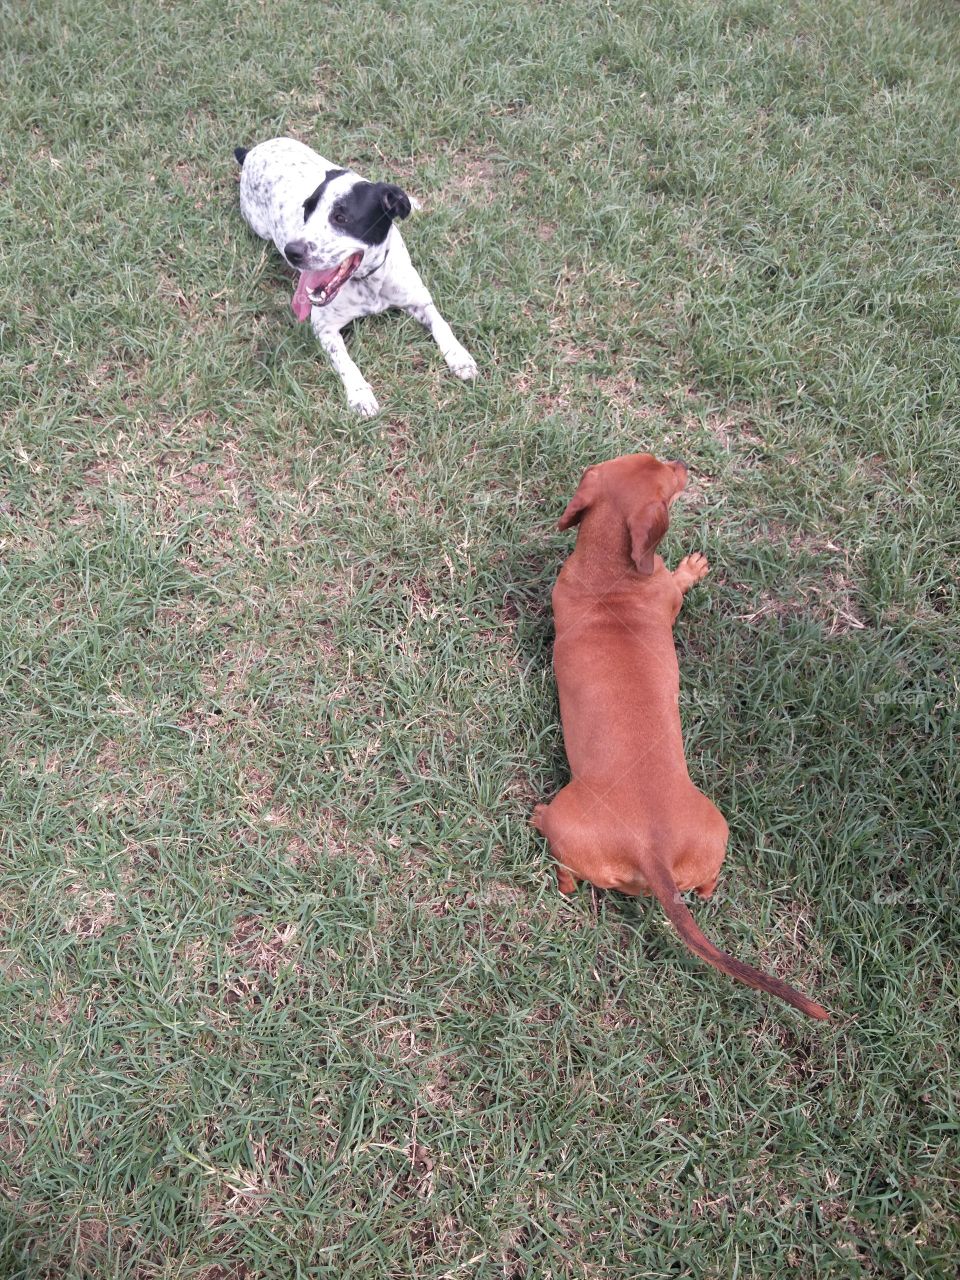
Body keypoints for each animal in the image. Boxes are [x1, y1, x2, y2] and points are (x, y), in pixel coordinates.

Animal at [234, 136, 481, 414]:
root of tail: (252, 151)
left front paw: (459, 356)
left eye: (341, 217)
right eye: (306, 209)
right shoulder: (324, 326)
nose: (291, 251)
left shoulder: (419, 299)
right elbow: (346, 362)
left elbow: (442, 324)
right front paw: (360, 394)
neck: (370, 283)